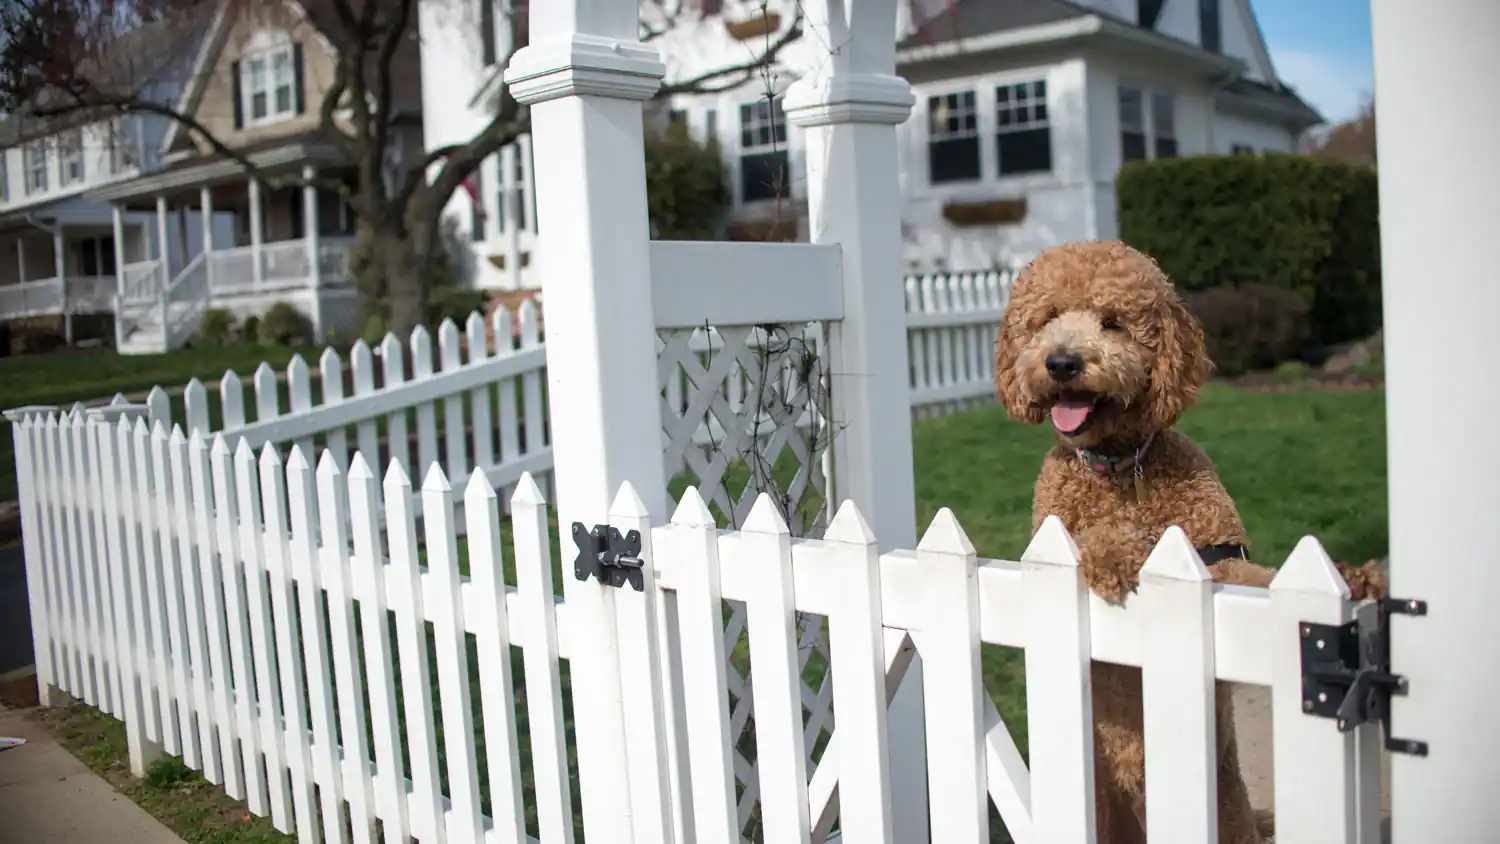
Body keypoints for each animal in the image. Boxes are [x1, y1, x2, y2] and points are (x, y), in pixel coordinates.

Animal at [990, 241, 1386, 839]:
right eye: (1047, 319)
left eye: (1113, 322)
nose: (1061, 362)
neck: (1121, 468)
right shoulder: (1051, 535)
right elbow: (1094, 536)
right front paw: (1113, 550)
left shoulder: (1220, 560)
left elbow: (1262, 580)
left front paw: (1354, 576)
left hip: (1229, 811)